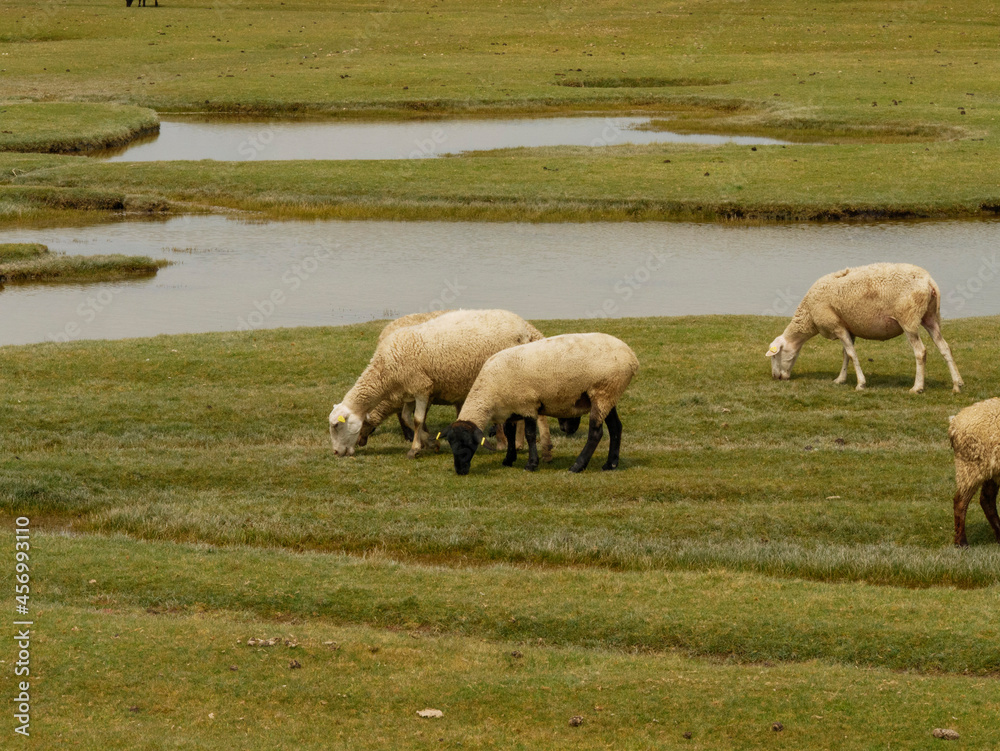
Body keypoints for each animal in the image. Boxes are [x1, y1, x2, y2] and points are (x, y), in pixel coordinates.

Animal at [329, 309, 551, 459]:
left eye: (337, 426)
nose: (336, 452)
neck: (386, 370)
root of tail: (523, 326)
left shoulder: (422, 387)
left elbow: (417, 419)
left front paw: (415, 449)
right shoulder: (409, 391)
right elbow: (407, 418)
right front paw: (428, 442)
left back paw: (517, 444)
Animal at [442, 333, 639, 475]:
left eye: (467, 443)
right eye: (451, 443)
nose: (460, 471)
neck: (488, 392)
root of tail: (632, 358)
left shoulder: (528, 405)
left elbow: (529, 435)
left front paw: (531, 464)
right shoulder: (511, 409)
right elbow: (509, 433)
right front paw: (509, 459)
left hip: (603, 391)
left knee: (596, 433)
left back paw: (577, 466)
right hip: (608, 394)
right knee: (615, 428)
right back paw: (610, 464)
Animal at [766, 263, 963, 393]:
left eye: (775, 356)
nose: (776, 377)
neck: (809, 316)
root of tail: (929, 281)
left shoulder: (836, 325)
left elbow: (852, 354)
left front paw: (860, 384)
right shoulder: (847, 327)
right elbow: (846, 354)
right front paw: (840, 379)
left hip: (908, 319)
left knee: (921, 352)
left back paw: (917, 387)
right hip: (931, 317)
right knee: (945, 347)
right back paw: (957, 384)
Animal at [949, 398, 1000, 546]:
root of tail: (954, 423)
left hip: (991, 470)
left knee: (986, 500)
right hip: (971, 466)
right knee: (961, 501)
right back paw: (961, 543)